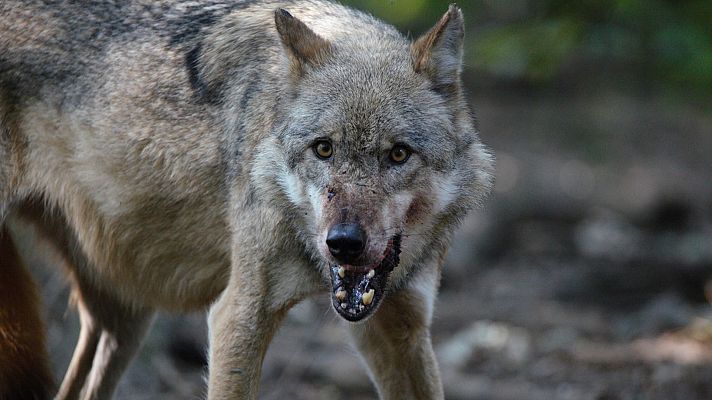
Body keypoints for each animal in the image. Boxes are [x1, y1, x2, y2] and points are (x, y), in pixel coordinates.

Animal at [0, 0, 494, 399]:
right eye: (324, 149)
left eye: (398, 154)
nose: (343, 243)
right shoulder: (238, 316)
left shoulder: (402, 327)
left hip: (125, 317)